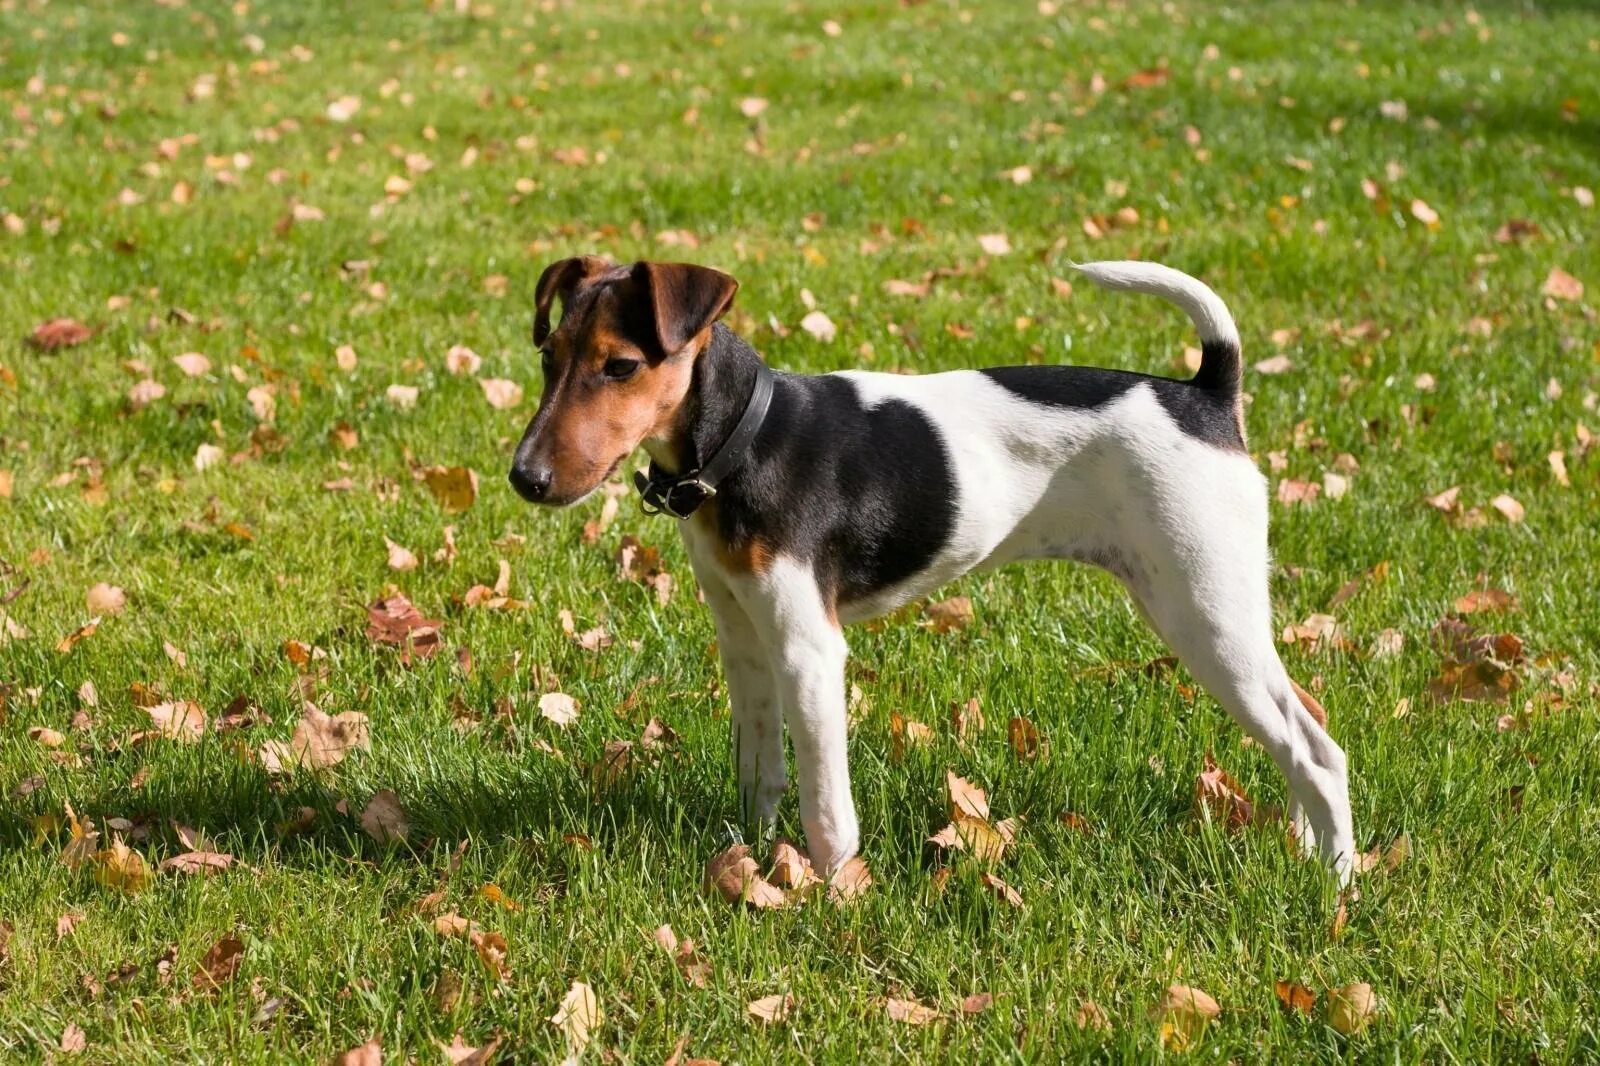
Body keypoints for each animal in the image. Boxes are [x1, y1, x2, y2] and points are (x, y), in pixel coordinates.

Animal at [508, 256, 1350, 877]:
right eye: (549, 359)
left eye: (620, 366)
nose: (524, 478)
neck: (746, 438)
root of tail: (1206, 396)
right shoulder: (744, 638)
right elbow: (761, 772)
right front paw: (747, 859)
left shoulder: (810, 651)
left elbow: (825, 804)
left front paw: (831, 892)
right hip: (1214, 611)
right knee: (1303, 721)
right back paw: (1302, 846)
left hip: (1203, 608)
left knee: (1316, 749)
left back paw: (1334, 887)